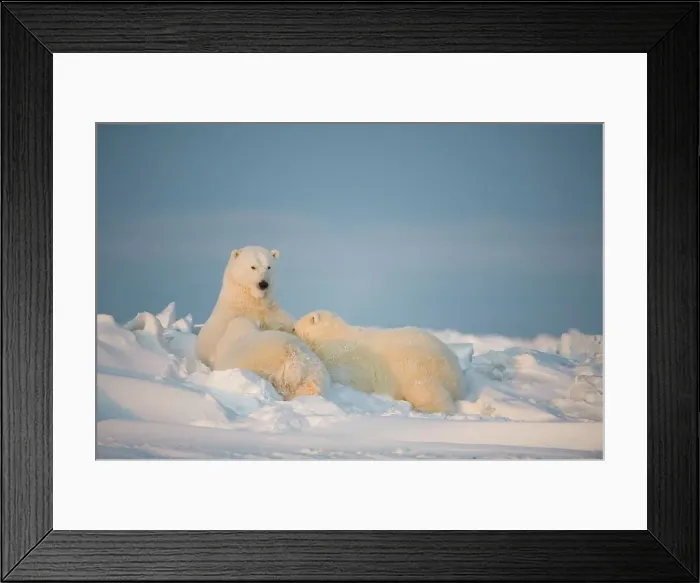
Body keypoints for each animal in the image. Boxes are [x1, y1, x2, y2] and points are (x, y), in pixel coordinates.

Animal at [293, 310, 465, 414]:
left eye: (295, 328)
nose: (292, 328)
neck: (332, 335)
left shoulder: (348, 356)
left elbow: (349, 375)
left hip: (417, 366)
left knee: (424, 388)